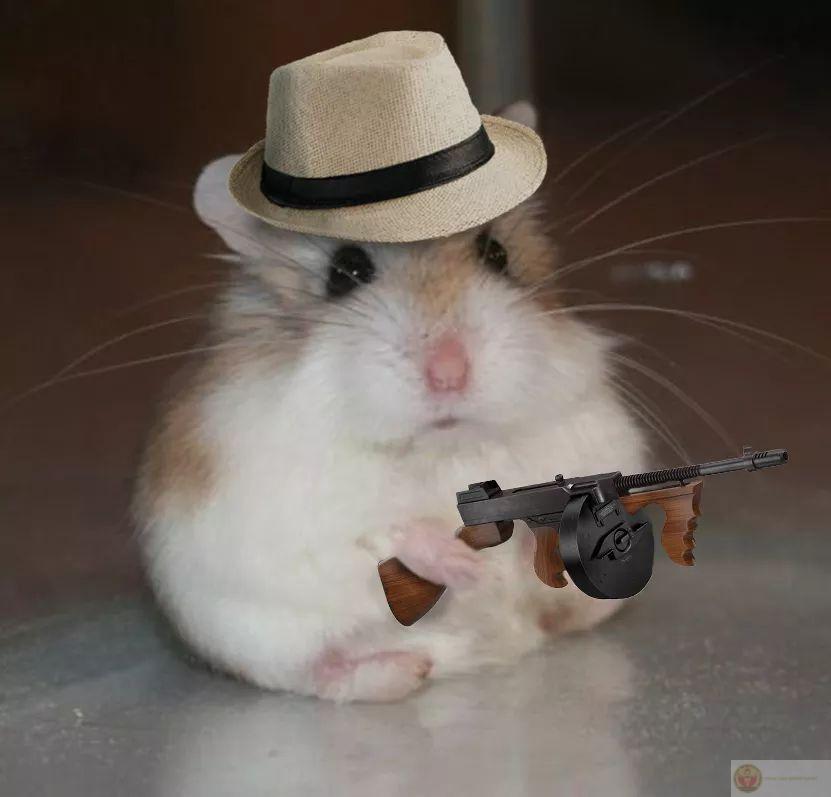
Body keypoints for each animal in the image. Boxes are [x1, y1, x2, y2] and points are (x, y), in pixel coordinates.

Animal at [133, 103, 648, 702]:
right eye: (345, 272)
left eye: (496, 254)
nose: (449, 374)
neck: (438, 448)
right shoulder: (292, 507)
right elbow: (383, 529)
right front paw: (471, 571)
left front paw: (513, 558)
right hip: (247, 637)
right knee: (318, 672)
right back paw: (402, 670)